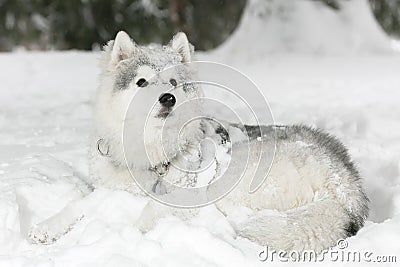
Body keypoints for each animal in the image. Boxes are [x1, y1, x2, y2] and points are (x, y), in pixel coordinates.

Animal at [29, 31, 368, 253]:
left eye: (173, 82)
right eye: (141, 82)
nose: (168, 98)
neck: (153, 152)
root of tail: (346, 183)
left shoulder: (181, 197)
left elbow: (147, 212)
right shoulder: (108, 191)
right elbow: (77, 206)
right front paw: (46, 228)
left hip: (237, 177)